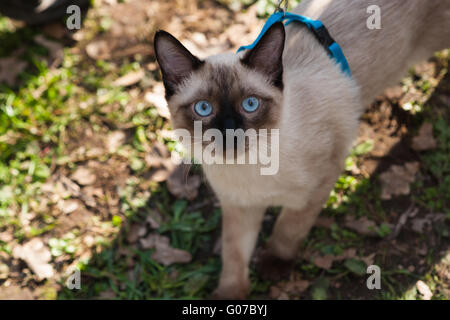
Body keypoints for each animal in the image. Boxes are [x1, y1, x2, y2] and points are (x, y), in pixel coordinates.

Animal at [154, 0, 450, 300]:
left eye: (250, 104)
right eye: (204, 108)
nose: (230, 132)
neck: (249, 170)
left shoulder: (321, 183)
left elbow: (288, 228)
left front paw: (274, 265)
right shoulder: (239, 206)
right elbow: (234, 256)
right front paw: (230, 295)